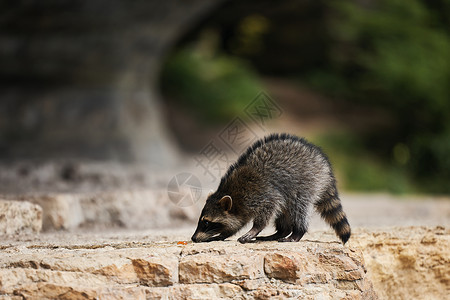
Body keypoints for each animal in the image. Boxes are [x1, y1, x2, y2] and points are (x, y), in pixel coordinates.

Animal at [191, 133, 352, 244]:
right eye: (201, 221)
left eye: (206, 222)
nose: (193, 238)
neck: (233, 194)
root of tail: (325, 166)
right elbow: (235, 224)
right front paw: (222, 235)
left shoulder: (261, 193)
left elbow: (267, 209)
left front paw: (255, 229)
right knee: (285, 211)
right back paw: (281, 232)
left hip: (306, 182)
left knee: (298, 207)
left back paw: (297, 232)